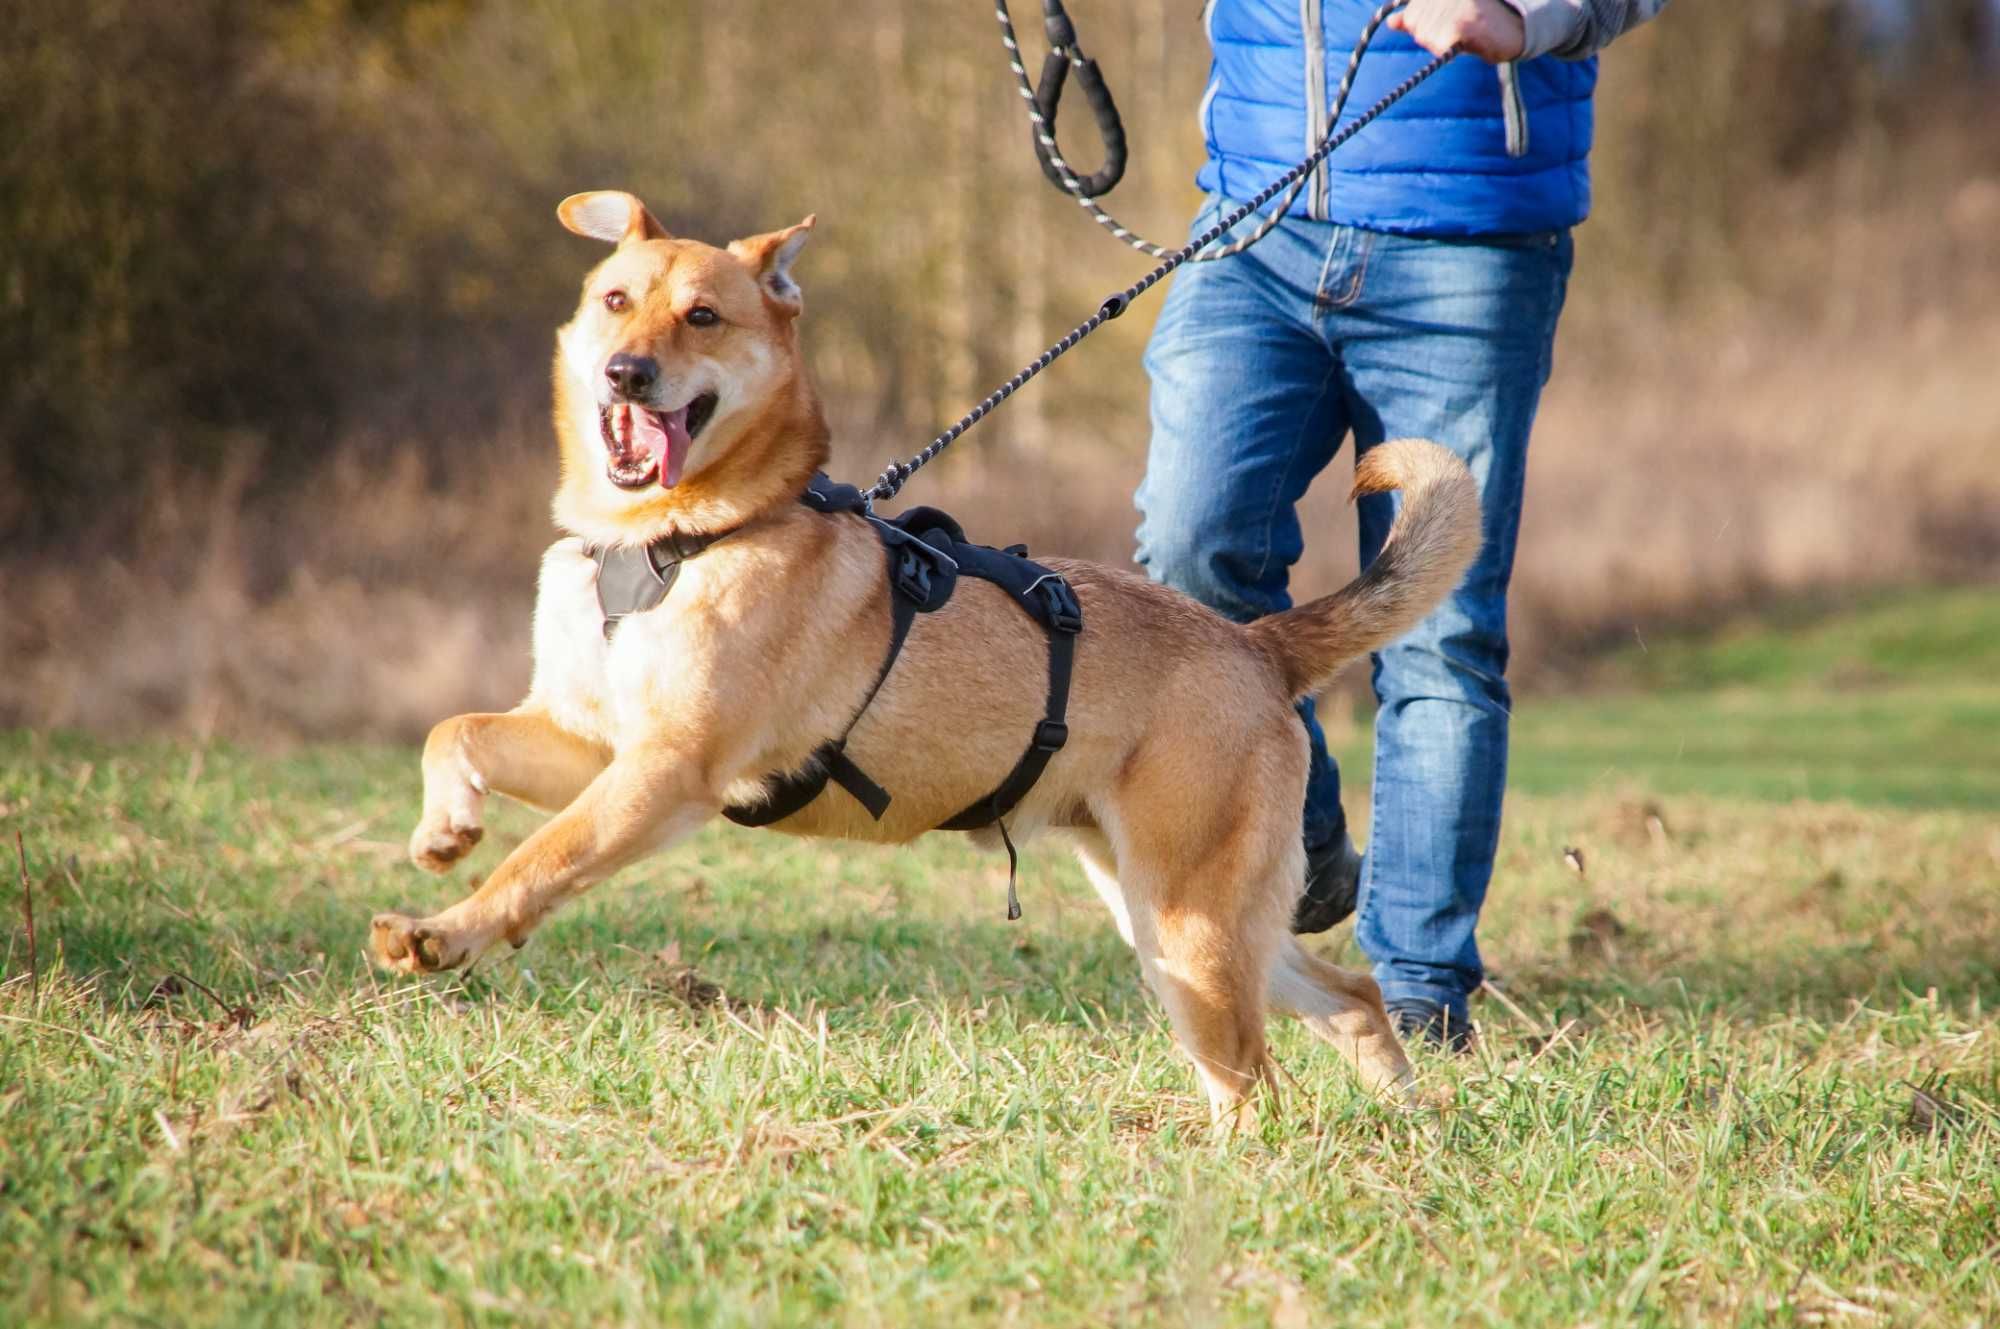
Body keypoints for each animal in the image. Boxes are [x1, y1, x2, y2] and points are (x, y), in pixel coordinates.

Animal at [368, 187, 1480, 1120]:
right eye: (614, 300)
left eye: (703, 317)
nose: (625, 374)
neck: (667, 541)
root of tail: (1254, 642)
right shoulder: (592, 744)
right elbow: (453, 731)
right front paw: (443, 829)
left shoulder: (667, 772)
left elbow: (540, 861)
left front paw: (444, 932)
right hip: (1175, 917)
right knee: (1344, 995)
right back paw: (1412, 1119)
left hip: (1187, 928)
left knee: (1254, 1079)